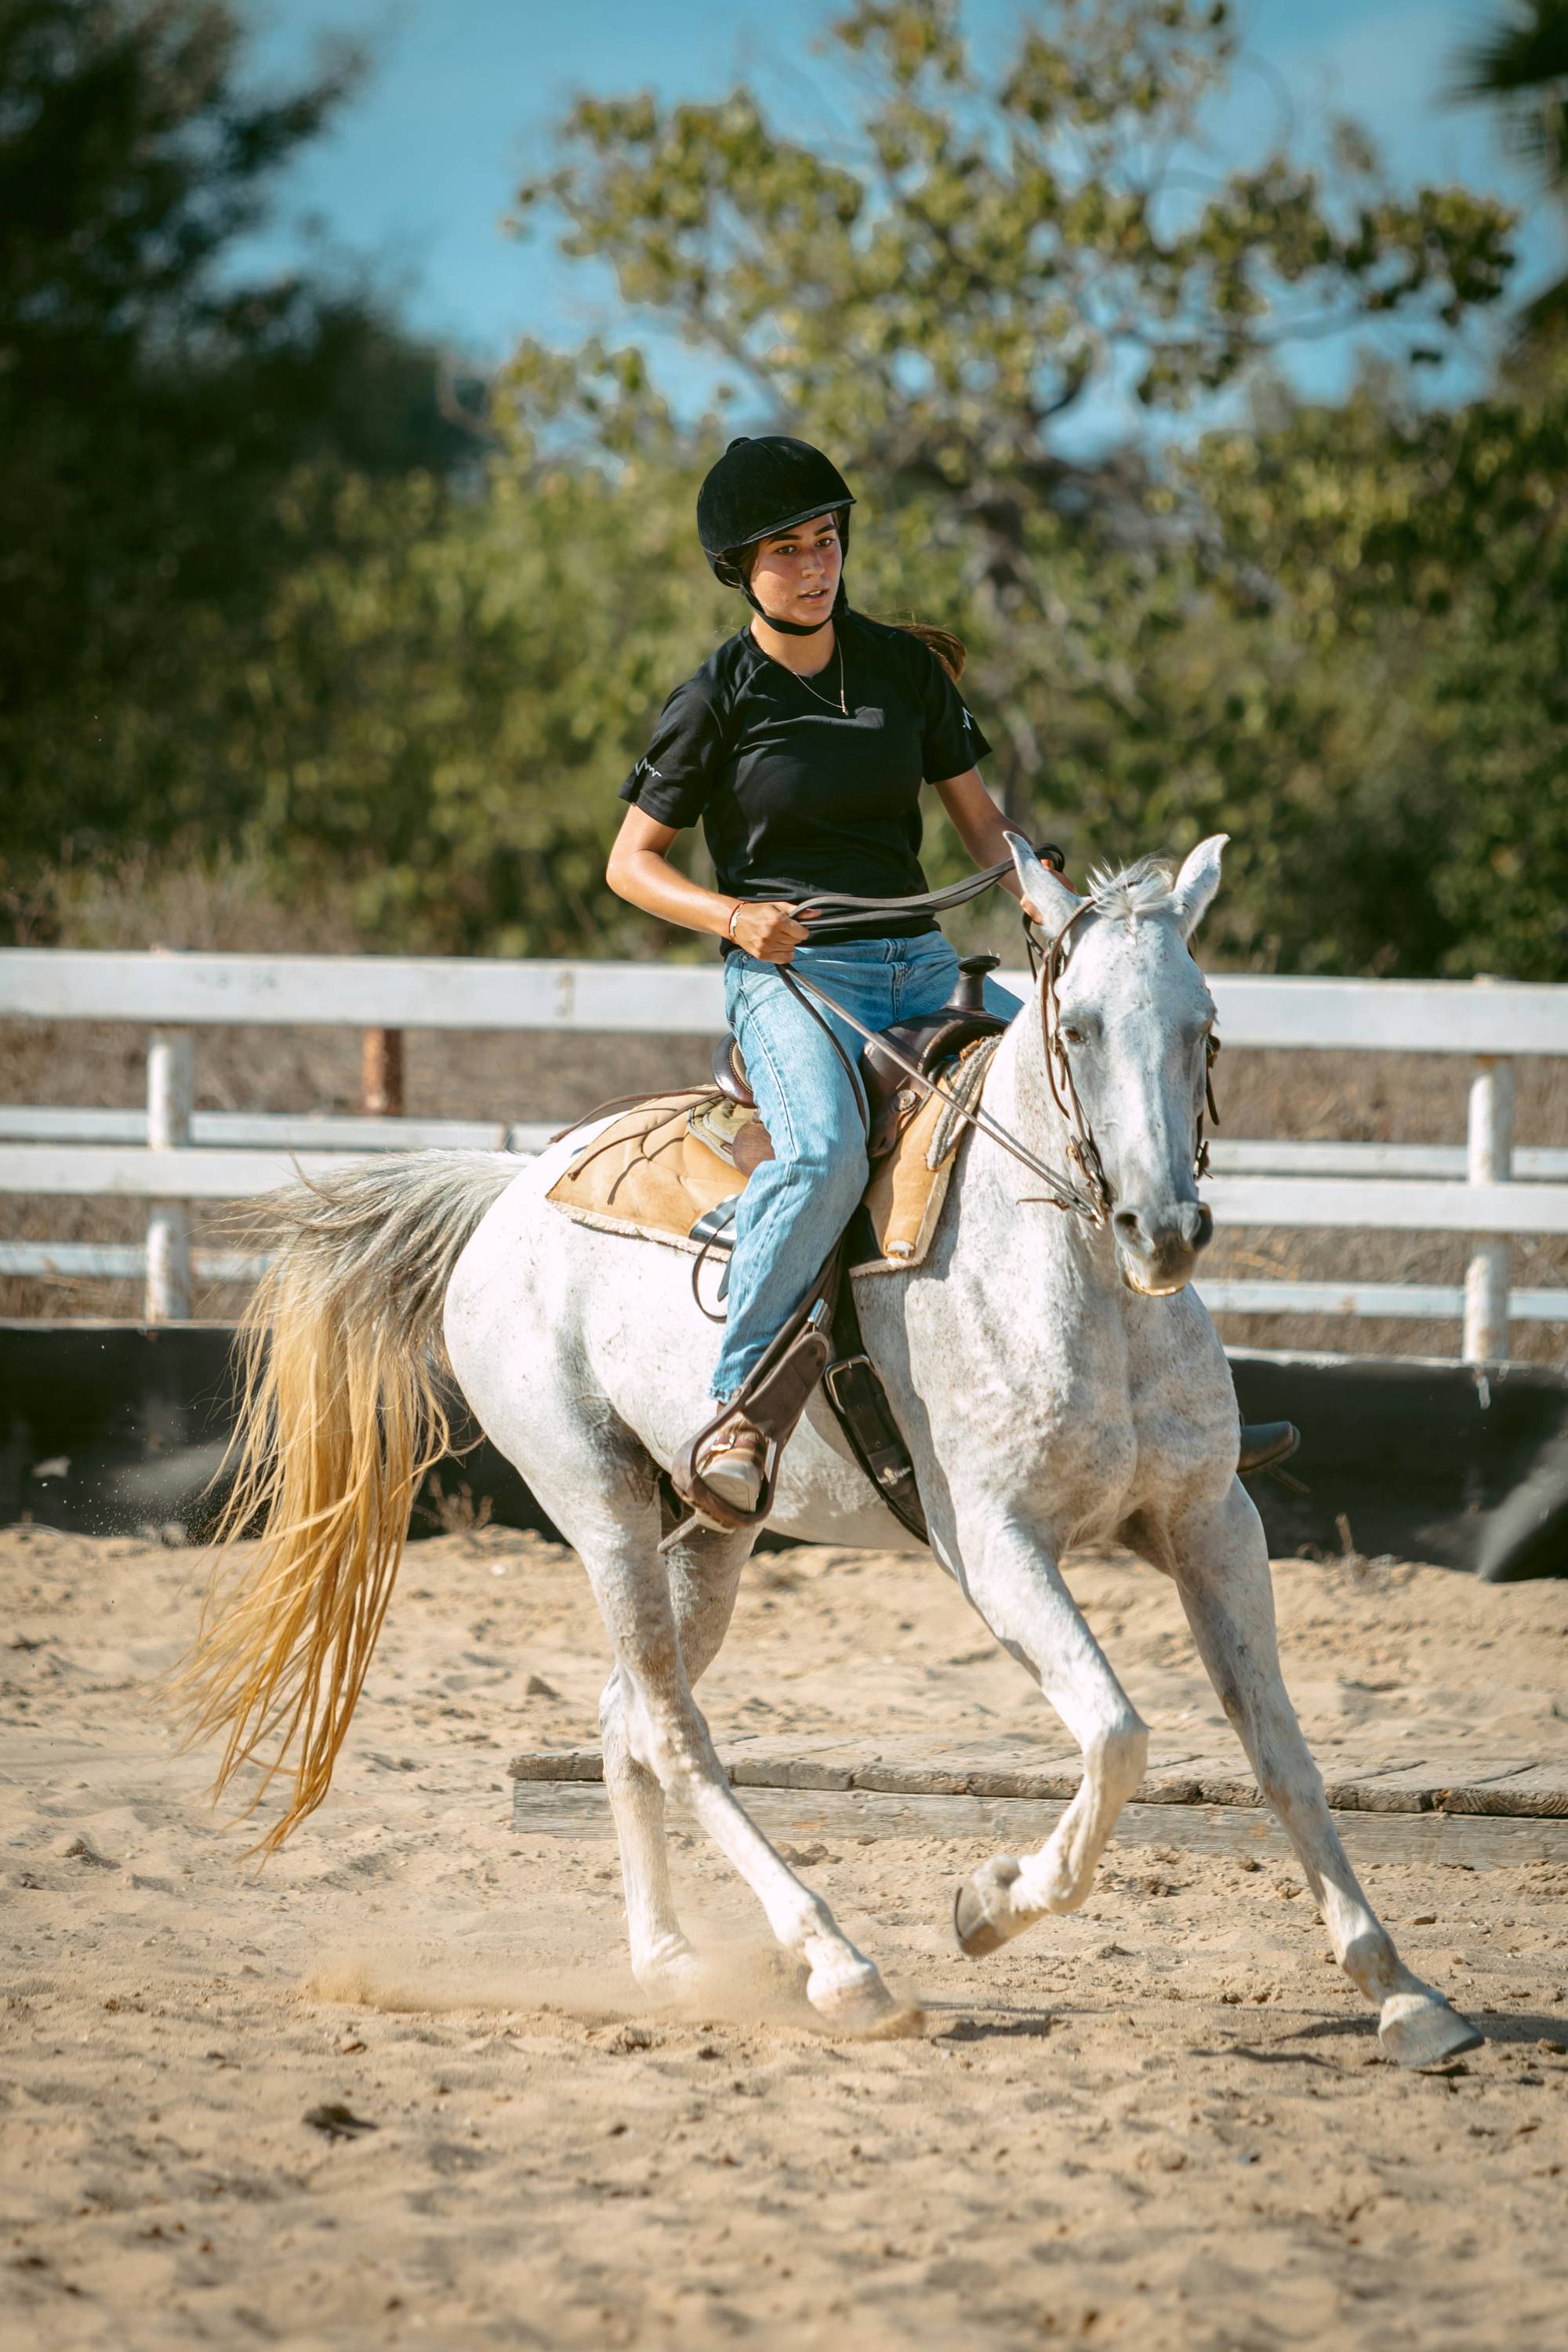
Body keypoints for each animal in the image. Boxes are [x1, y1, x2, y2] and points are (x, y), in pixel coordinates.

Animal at [178, 834, 1480, 2071]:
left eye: (1202, 1025)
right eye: (1079, 1025)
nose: (1162, 1230)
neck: (1070, 1282)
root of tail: (508, 1191)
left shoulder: (1212, 1520)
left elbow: (1283, 1752)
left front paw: (1405, 1994)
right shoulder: (994, 1546)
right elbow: (1118, 1736)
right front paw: (988, 1904)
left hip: (710, 1532)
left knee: (624, 1714)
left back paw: (668, 1960)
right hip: (597, 1504)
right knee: (674, 1730)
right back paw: (842, 1968)